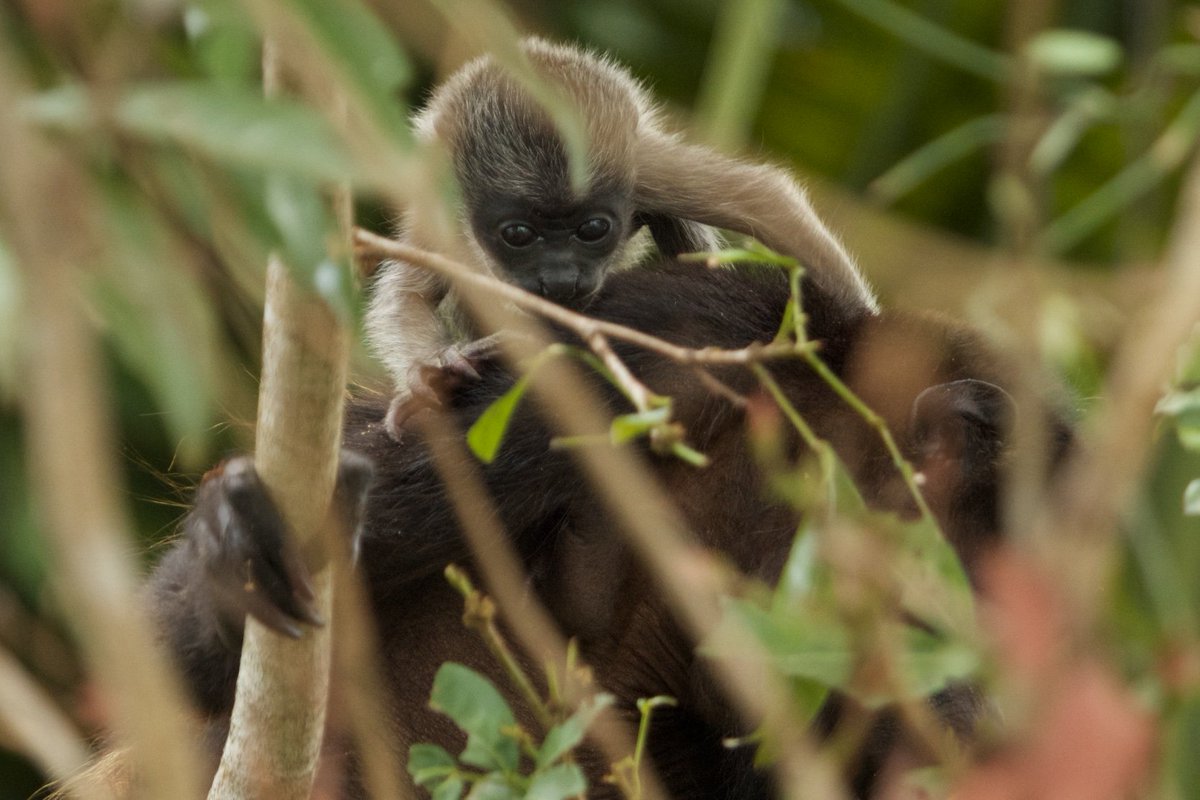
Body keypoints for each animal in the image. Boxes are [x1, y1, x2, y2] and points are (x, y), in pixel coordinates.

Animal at [364, 37, 873, 438]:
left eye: (592, 229)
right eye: (519, 235)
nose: (561, 277)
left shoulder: (646, 170)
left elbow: (765, 201)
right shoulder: (440, 203)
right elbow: (409, 295)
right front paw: (431, 375)